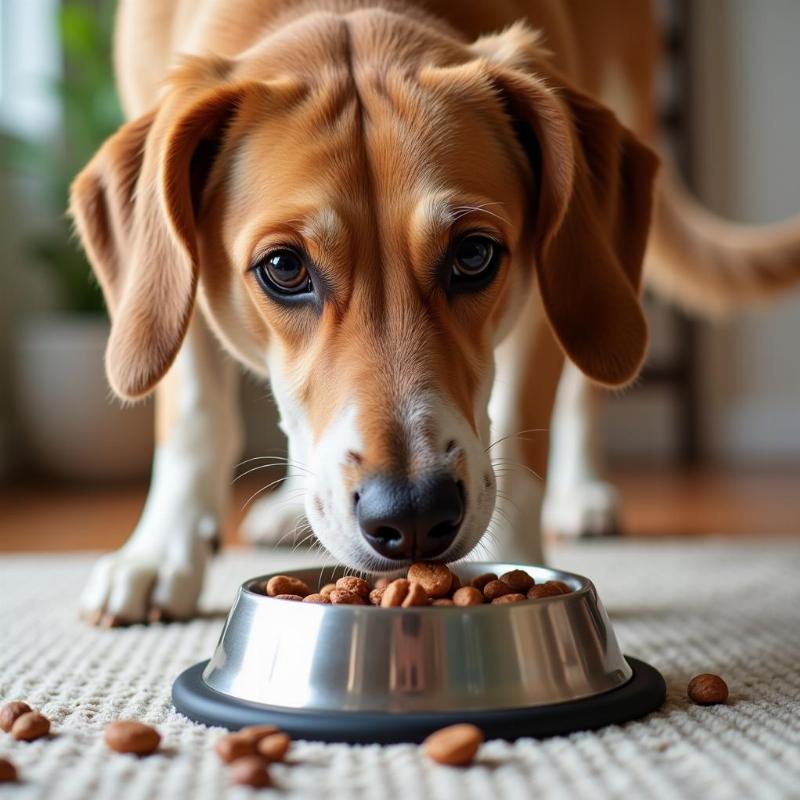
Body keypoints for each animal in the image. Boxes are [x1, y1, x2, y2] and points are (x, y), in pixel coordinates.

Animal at [70, 0, 800, 624]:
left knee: (586, 384)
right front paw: (159, 556)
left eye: (474, 254)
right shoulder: (171, 274)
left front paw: (517, 565)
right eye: (283, 268)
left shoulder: (542, 285)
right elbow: (195, 416)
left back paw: (584, 491)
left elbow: (520, 433)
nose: (414, 513)